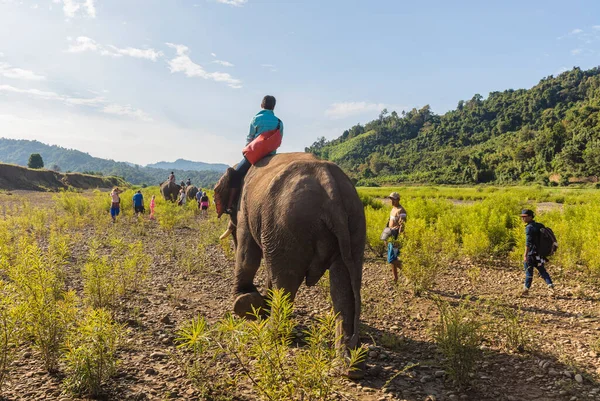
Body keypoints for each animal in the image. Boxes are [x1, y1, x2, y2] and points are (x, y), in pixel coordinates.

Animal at [216, 153, 366, 378]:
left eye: (228, 209)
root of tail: (331, 185)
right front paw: (259, 302)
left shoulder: (245, 207)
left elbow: (248, 253)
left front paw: (245, 303)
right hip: (354, 223)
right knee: (343, 288)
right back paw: (347, 366)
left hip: (286, 224)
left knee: (286, 279)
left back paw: (272, 334)